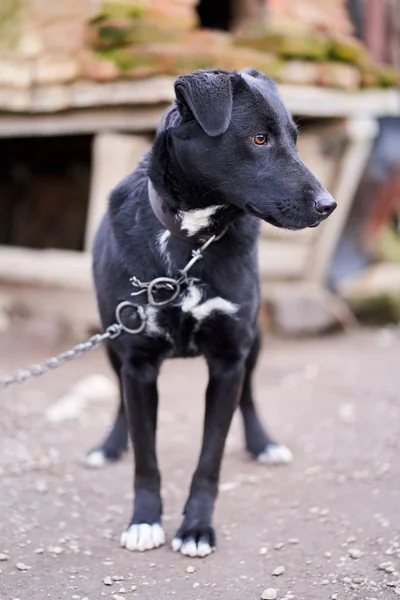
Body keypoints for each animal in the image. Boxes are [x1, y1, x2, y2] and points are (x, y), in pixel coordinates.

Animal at [86, 69, 334, 556]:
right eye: (259, 138)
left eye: (295, 140)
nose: (328, 205)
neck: (191, 245)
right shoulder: (137, 363)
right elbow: (145, 456)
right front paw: (144, 521)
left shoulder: (228, 358)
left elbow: (210, 457)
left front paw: (197, 527)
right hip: (110, 341)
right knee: (121, 402)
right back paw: (109, 445)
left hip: (253, 343)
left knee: (250, 396)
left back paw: (263, 443)